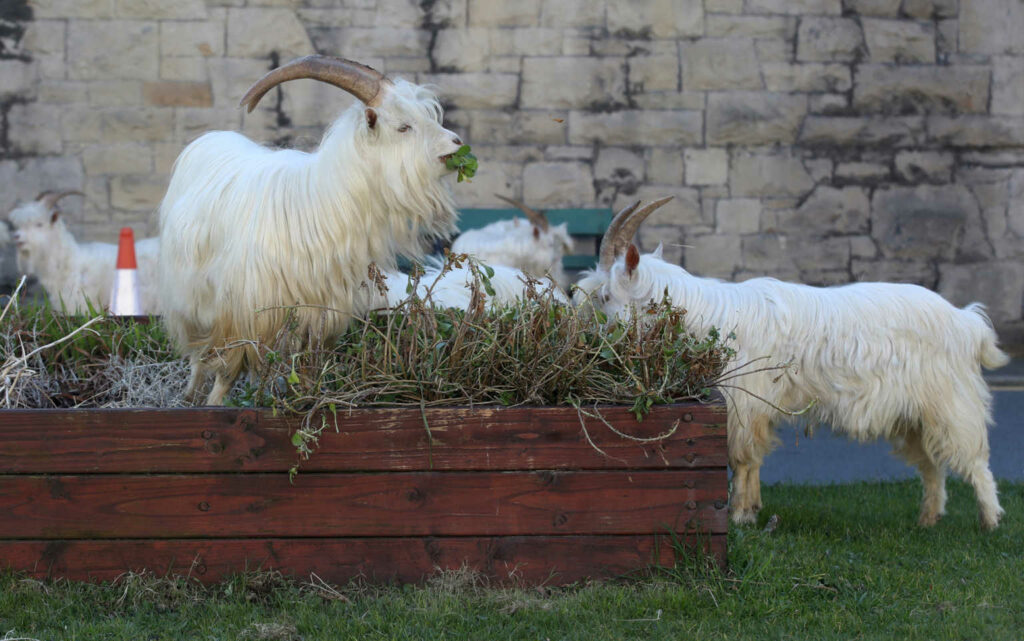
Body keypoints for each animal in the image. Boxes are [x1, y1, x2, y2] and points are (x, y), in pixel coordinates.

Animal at [159, 54, 464, 403]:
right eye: (403, 126)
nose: (456, 143)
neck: (321, 204)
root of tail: (211, 138)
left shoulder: (319, 314)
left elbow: (308, 367)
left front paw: (307, 400)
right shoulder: (243, 313)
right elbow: (227, 371)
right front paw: (213, 407)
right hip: (190, 298)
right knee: (198, 354)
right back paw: (189, 396)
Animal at [573, 199, 1011, 528]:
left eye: (606, 296)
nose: (588, 336)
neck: (708, 319)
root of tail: (967, 322)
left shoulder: (743, 401)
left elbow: (743, 458)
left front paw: (739, 516)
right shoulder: (754, 407)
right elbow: (754, 459)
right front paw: (752, 510)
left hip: (951, 402)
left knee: (974, 459)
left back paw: (990, 521)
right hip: (916, 413)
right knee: (932, 465)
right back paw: (928, 519)